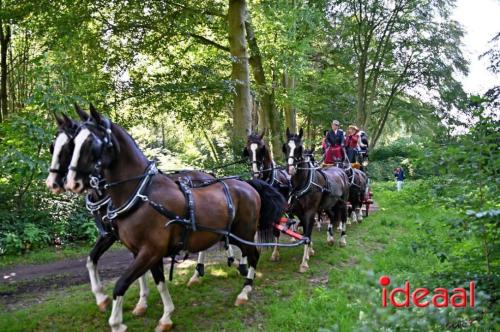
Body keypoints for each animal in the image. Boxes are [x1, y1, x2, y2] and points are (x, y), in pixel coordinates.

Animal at [284, 128, 350, 272]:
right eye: (285, 147)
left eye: (299, 148)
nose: (290, 169)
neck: (304, 182)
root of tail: (340, 170)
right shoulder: (300, 213)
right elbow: (305, 233)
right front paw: (310, 251)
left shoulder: (310, 212)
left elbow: (307, 235)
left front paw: (304, 263)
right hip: (328, 205)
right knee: (332, 216)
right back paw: (330, 238)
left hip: (342, 203)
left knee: (343, 218)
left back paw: (342, 240)